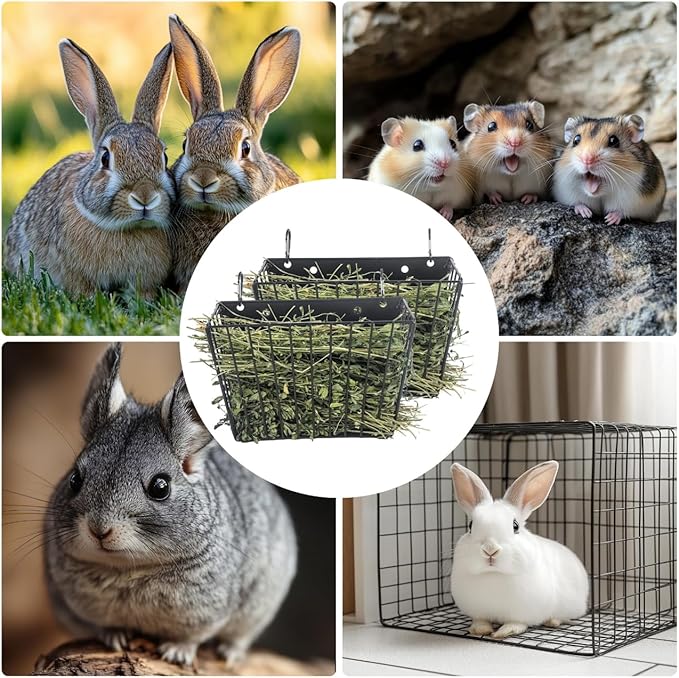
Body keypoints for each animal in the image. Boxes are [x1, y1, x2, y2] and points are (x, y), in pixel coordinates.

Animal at [44, 344, 297, 667]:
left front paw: (176, 654)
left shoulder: (209, 612)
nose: (99, 529)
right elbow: (102, 626)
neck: (128, 570)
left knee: (240, 638)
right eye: (76, 478)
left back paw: (230, 654)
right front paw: (115, 637)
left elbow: (191, 637)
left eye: (160, 487)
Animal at [450, 461, 588, 639]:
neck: (494, 575)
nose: (490, 549)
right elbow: (481, 620)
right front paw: (479, 630)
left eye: (515, 526)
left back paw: (553, 621)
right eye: (470, 526)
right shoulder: (478, 612)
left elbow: (517, 623)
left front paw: (504, 632)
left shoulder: (523, 613)